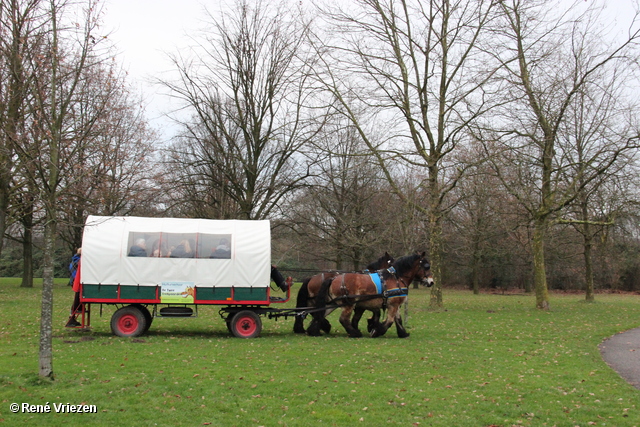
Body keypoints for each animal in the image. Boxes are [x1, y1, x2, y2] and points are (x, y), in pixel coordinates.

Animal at [306, 252, 436, 340]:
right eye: (427, 266)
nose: (431, 281)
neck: (396, 278)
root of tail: (334, 278)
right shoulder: (392, 305)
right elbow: (389, 321)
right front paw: (376, 331)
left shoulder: (395, 304)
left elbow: (398, 320)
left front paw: (403, 333)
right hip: (348, 304)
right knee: (343, 319)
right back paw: (355, 333)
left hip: (332, 304)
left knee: (319, 315)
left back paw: (314, 331)